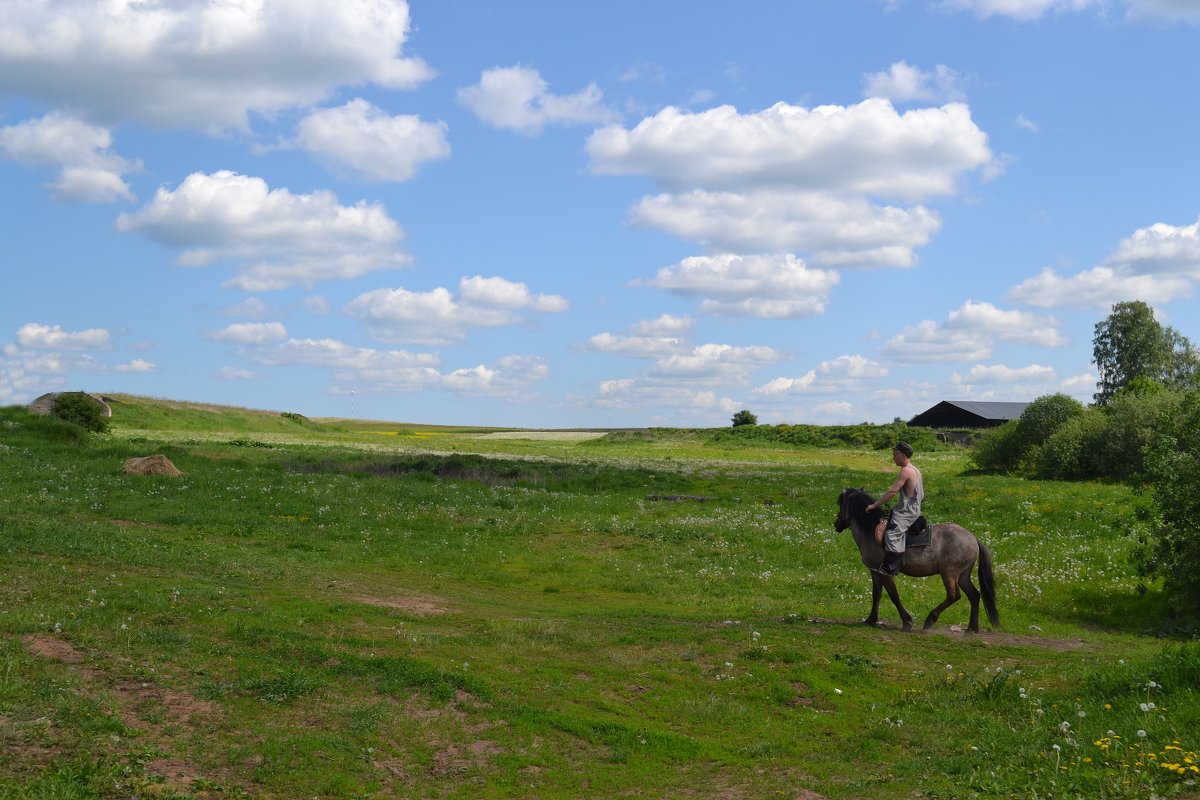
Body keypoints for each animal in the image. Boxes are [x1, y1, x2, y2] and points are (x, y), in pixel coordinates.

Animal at [835, 484, 1003, 633]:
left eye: (841, 504)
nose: (836, 524)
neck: (871, 530)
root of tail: (973, 539)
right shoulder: (875, 571)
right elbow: (877, 594)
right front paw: (871, 619)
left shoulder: (884, 572)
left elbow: (893, 595)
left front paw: (906, 621)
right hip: (963, 576)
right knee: (974, 595)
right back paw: (971, 628)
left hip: (949, 573)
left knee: (954, 595)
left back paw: (930, 619)